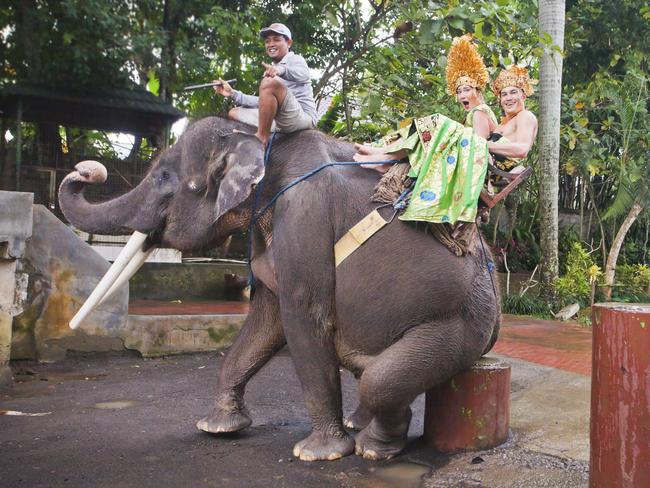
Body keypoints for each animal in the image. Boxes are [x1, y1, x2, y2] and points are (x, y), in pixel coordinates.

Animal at [58, 117, 498, 462]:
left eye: (165, 177)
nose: (86, 169)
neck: (261, 141)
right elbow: (265, 321)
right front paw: (218, 427)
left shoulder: (304, 217)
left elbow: (302, 315)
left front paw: (317, 454)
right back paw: (359, 427)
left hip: (461, 321)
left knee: (381, 379)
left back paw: (373, 448)